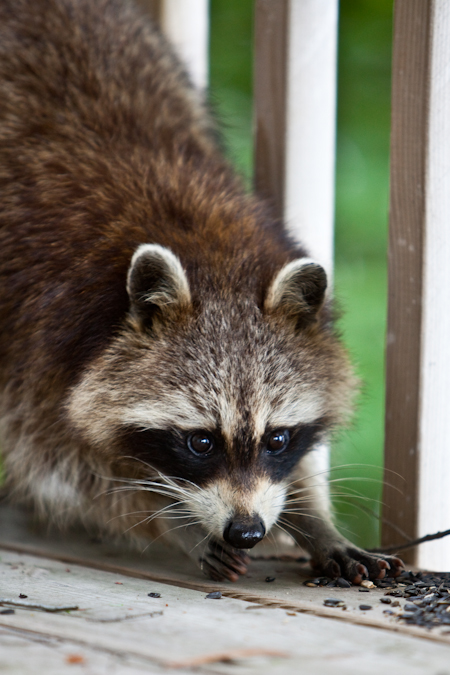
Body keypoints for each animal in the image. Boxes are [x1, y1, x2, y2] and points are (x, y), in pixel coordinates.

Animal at [0, 0, 403, 583]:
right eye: (201, 441)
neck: (214, 260)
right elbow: (68, 467)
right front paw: (171, 518)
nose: (248, 531)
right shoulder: (38, 348)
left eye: (276, 438)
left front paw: (311, 515)